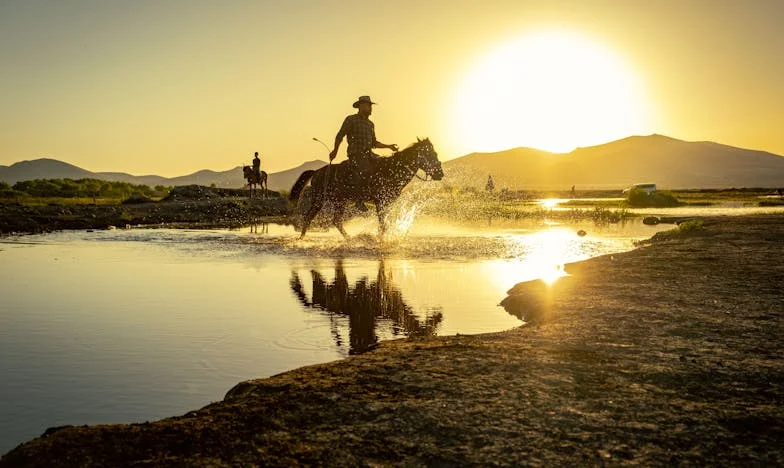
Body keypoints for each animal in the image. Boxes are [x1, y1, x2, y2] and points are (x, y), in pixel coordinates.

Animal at [290, 135, 444, 238]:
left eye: (435, 153)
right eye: (430, 153)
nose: (440, 173)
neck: (392, 170)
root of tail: (317, 172)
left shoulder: (388, 202)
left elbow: (385, 222)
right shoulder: (380, 201)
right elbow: (383, 223)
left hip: (339, 201)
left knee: (332, 220)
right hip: (321, 199)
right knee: (311, 218)